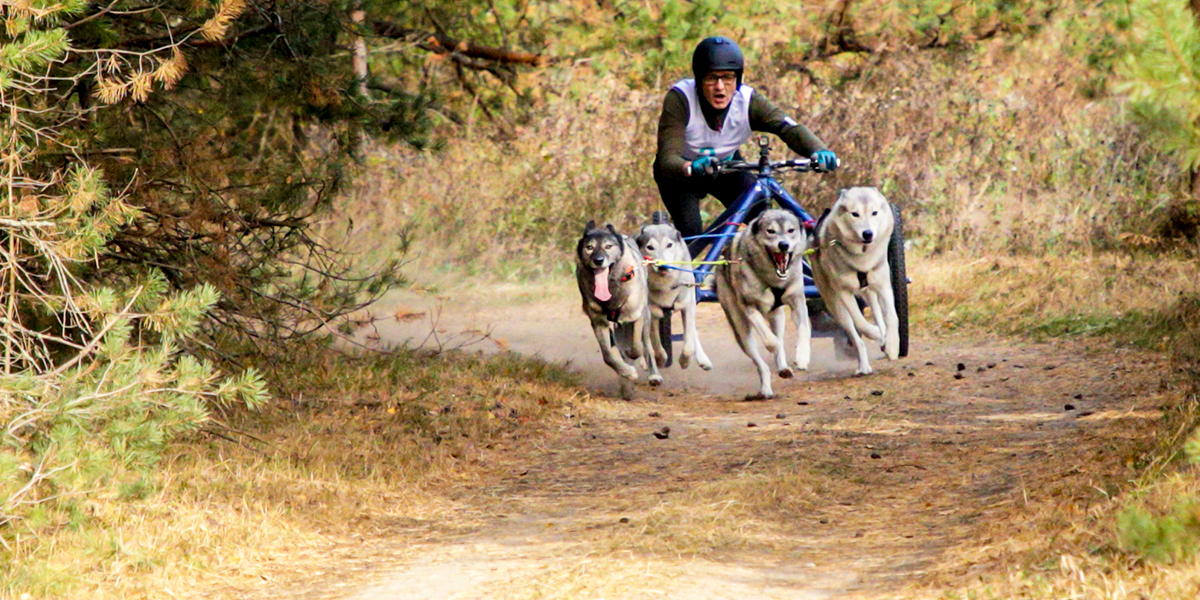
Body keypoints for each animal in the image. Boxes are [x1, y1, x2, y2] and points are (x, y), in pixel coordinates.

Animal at [573, 220, 662, 398]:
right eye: (589, 247)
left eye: (608, 246)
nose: (598, 260)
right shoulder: (599, 323)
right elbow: (608, 356)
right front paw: (626, 371)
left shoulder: (637, 316)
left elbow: (636, 347)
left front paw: (632, 360)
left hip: (646, 317)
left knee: (647, 346)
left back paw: (653, 374)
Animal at [638, 211, 710, 369]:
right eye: (650, 247)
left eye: (669, 245)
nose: (662, 266)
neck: (665, 284)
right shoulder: (651, 312)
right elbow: (655, 342)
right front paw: (659, 359)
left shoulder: (687, 306)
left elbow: (689, 341)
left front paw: (685, 360)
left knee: (692, 332)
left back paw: (702, 358)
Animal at [710, 208, 816, 400]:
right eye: (771, 231)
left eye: (791, 230)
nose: (783, 245)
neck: (773, 279)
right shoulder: (749, 307)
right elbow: (771, 341)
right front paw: (775, 345)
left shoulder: (797, 302)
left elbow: (804, 330)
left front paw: (802, 357)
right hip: (742, 331)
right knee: (761, 364)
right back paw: (765, 389)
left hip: (778, 318)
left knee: (778, 343)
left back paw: (783, 368)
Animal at [806, 187, 902, 374]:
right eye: (855, 214)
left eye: (874, 213)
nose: (868, 233)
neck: (862, 258)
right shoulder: (844, 293)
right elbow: (860, 322)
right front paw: (876, 334)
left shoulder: (884, 286)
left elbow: (893, 317)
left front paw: (892, 345)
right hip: (836, 306)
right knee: (855, 336)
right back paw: (864, 364)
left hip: (870, 291)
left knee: (877, 312)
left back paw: (884, 339)